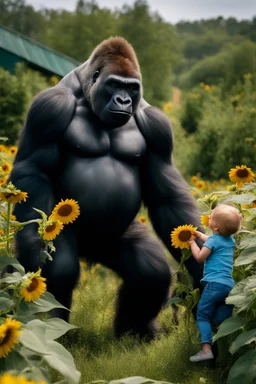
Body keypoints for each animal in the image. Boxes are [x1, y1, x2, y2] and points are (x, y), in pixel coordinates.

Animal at [9, 36, 202, 340]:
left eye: (131, 88)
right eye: (114, 84)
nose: (124, 100)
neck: (87, 92)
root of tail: (90, 252)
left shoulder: (157, 124)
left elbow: (166, 197)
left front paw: (198, 261)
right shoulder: (49, 108)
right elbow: (33, 170)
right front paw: (34, 242)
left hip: (110, 239)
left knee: (150, 272)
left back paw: (135, 333)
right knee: (62, 268)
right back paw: (53, 331)